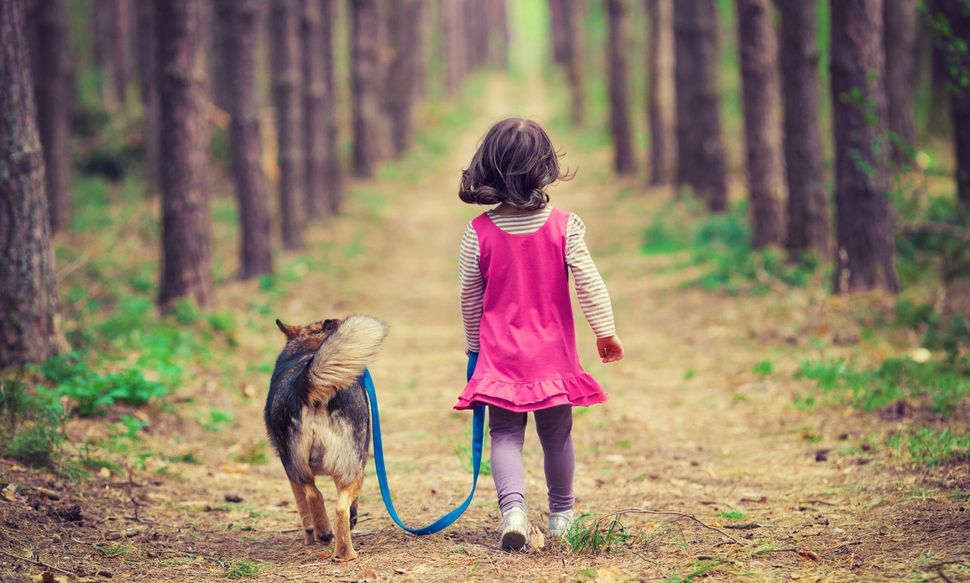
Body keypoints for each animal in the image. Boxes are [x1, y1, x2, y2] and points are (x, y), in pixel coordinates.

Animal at [266, 318, 388, 564]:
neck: (310, 346)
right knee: (339, 506)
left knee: (313, 494)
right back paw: (345, 553)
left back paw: (324, 534)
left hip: (299, 465)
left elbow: (303, 508)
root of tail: (306, 384)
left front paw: (309, 536)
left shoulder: (290, 471)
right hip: (351, 467)